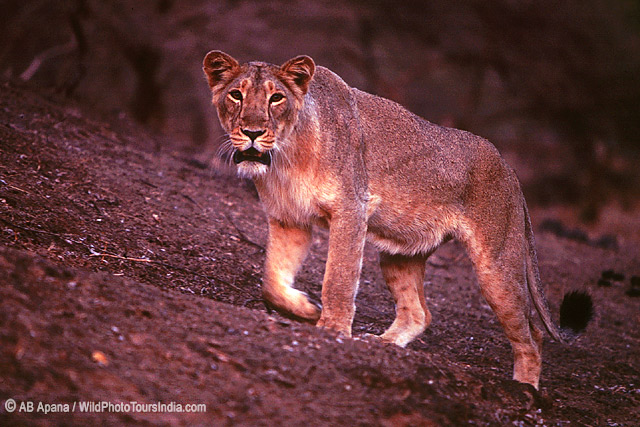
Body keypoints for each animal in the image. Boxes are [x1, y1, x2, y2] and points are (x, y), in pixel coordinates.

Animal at [202, 50, 593, 389]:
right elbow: (271, 280)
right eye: (236, 95)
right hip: (400, 253)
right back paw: (381, 343)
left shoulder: (352, 209)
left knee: (533, 336)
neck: (285, 155)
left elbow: (339, 278)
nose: (252, 133)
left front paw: (332, 329)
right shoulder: (288, 220)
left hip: (496, 266)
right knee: (418, 313)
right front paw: (306, 310)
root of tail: (511, 172)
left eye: (276, 98)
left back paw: (525, 390)